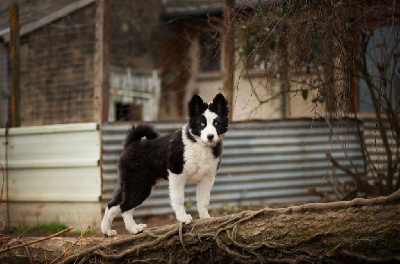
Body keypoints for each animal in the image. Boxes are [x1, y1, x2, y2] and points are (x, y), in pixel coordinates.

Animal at [101, 94, 228, 236]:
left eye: (216, 123)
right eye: (202, 124)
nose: (210, 136)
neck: (199, 145)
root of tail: (131, 144)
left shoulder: (207, 178)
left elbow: (204, 200)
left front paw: (205, 218)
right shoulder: (177, 174)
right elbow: (178, 199)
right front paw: (183, 218)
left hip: (130, 183)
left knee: (112, 204)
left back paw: (107, 231)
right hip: (139, 183)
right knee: (124, 206)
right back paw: (134, 229)